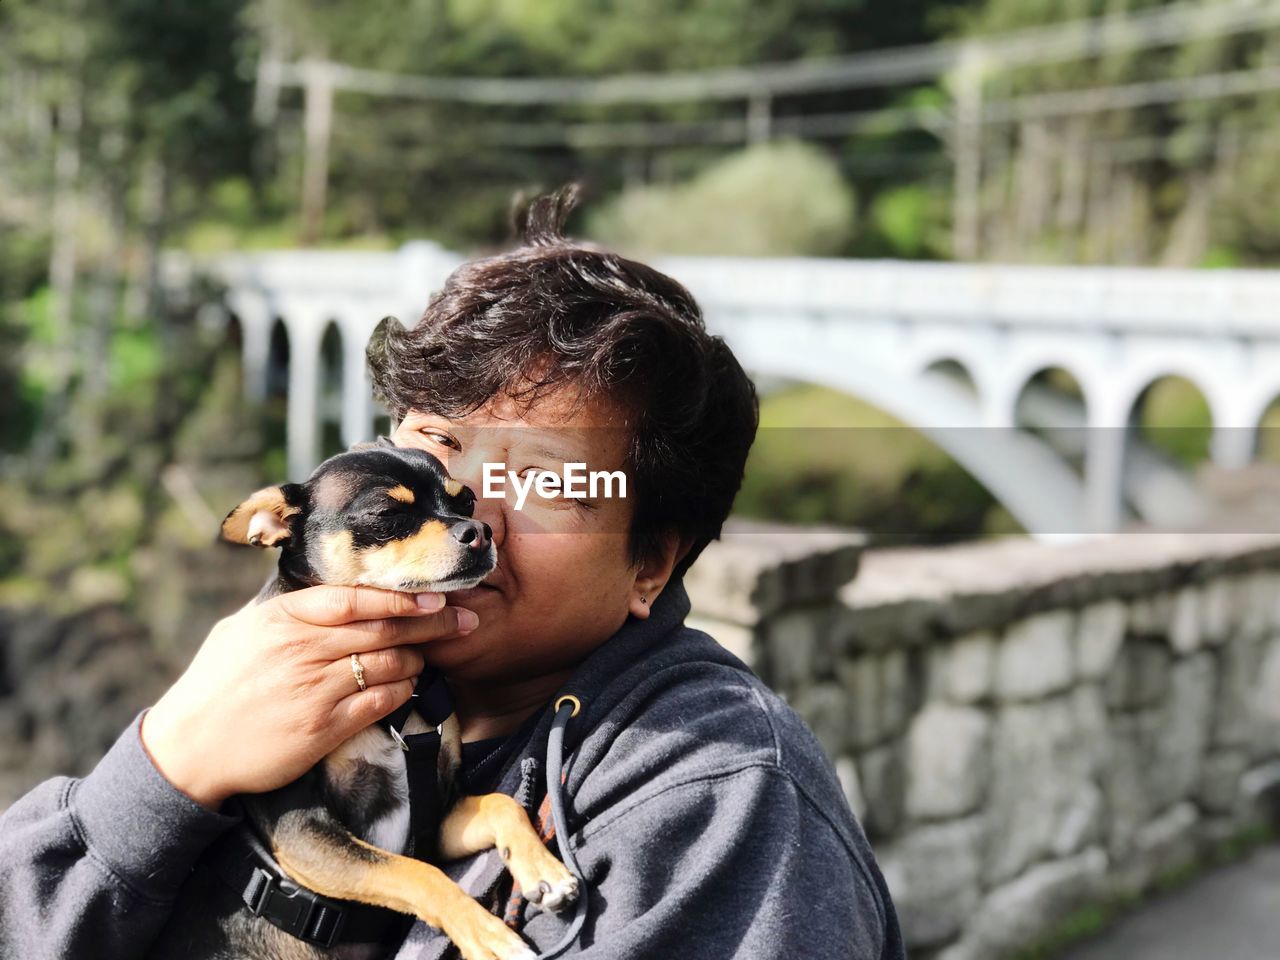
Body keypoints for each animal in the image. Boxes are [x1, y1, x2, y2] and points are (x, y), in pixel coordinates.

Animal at [144, 442, 576, 960]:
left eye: (466, 501)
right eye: (387, 515)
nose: (480, 530)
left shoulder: (435, 820)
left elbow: (499, 805)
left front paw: (543, 870)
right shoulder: (304, 832)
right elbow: (420, 874)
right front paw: (490, 939)